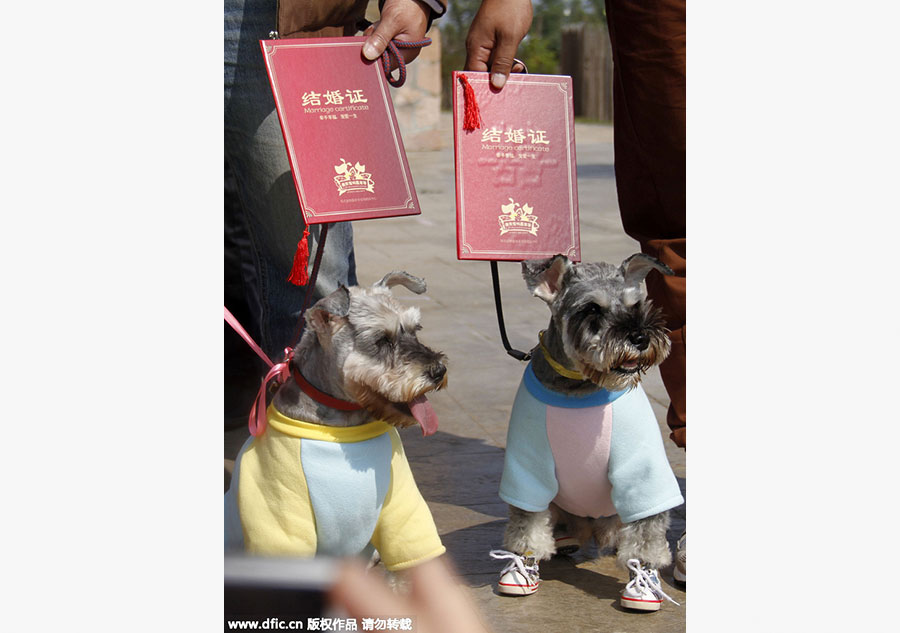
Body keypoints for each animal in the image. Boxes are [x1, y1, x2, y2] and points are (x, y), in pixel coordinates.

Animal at [225, 272, 450, 572]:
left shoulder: (401, 502)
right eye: (382, 340)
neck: (342, 427)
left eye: (416, 329)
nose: (439, 371)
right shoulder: (280, 512)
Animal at [488, 254, 684, 608]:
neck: (580, 386)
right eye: (592, 309)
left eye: (636, 305)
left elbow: (647, 532)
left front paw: (644, 578)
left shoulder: (643, 473)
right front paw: (522, 566)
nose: (640, 338)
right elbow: (526, 523)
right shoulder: (527, 468)